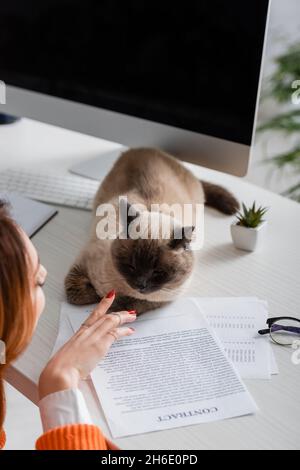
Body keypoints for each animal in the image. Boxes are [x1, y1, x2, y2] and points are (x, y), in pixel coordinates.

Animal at [65, 149, 239, 314]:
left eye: (158, 272)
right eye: (131, 266)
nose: (140, 285)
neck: (121, 288)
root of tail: (157, 150)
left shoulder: (162, 299)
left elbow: (134, 305)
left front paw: (113, 304)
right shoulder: (83, 264)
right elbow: (77, 294)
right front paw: (99, 296)